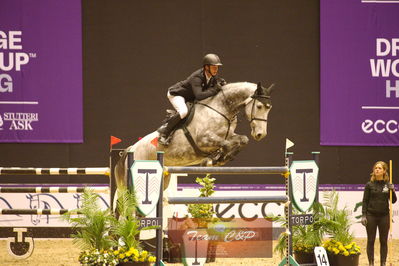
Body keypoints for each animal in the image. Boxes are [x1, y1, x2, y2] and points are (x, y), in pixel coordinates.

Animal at [114, 82, 274, 190]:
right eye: (259, 106)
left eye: (269, 108)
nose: (261, 134)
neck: (222, 109)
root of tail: (130, 149)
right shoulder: (203, 140)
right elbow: (226, 144)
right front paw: (216, 159)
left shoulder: (229, 135)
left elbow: (242, 140)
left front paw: (221, 158)